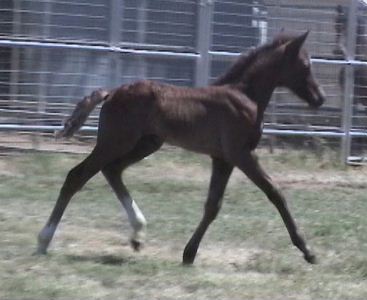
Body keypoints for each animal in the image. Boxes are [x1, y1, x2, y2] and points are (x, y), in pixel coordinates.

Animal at [36, 31, 324, 264]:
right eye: (305, 64)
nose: (320, 98)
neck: (244, 95)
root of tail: (112, 92)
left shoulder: (222, 159)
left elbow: (213, 205)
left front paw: (189, 254)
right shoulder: (241, 154)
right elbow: (276, 193)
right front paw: (307, 250)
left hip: (146, 144)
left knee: (112, 170)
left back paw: (138, 233)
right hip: (116, 141)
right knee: (77, 175)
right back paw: (43, 240)